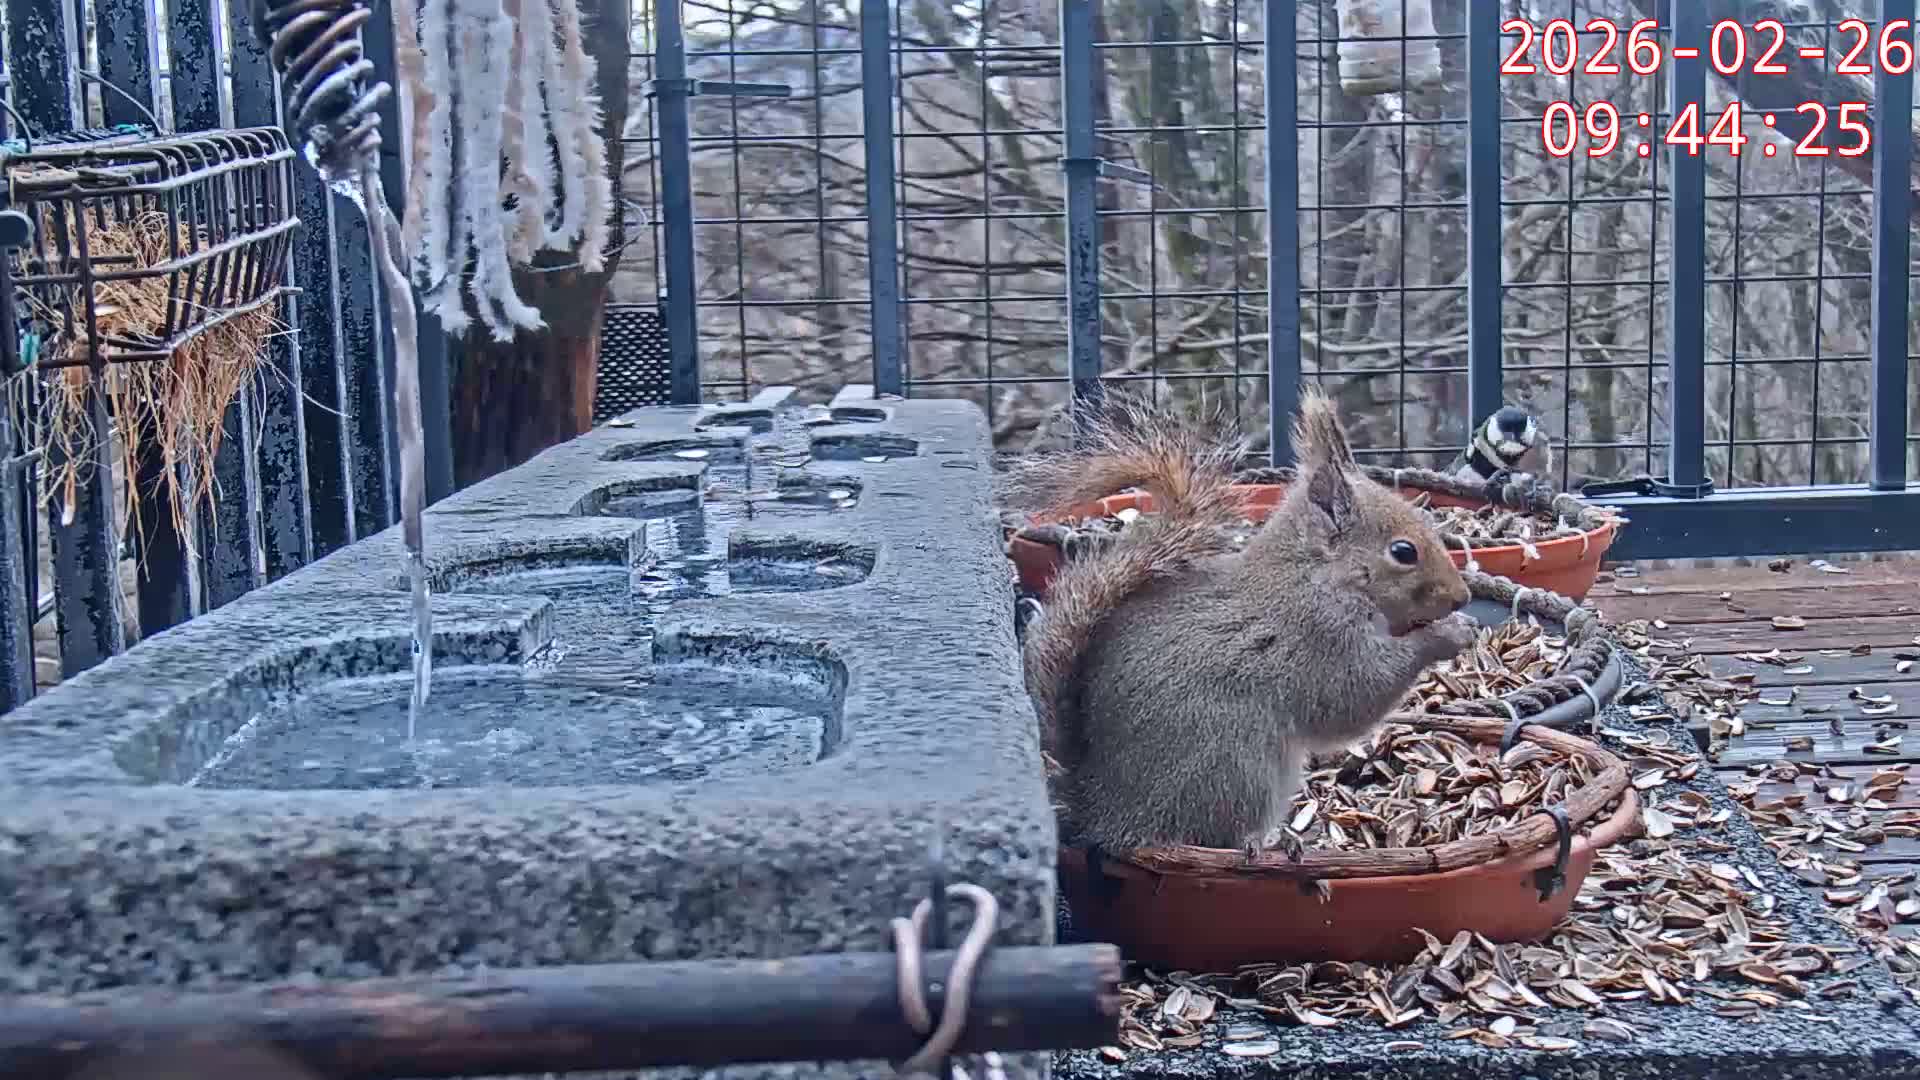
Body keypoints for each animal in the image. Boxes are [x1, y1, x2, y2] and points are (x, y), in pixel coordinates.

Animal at [1007, 388, 1478, 858]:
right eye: (1403, 552)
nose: (1463, 597)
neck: (1318, 574)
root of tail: (1100, 808)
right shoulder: (1321, 635)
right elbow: (1356, 693)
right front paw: (1448, 634)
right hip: (1236, 761)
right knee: (1220, 834)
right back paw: (1268, 842)